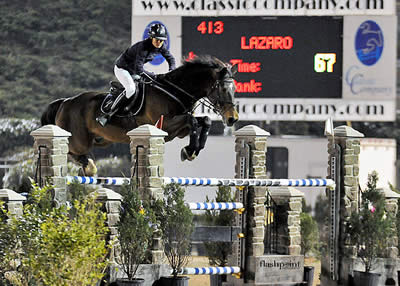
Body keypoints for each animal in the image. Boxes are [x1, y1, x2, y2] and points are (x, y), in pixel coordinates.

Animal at [41, 55, 238, 175]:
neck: (175, 91)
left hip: (101, 140)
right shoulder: (165, 126)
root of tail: (65, 102)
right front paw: (189, 151)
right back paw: (89, 166)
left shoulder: (180, 130)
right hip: (79, 140)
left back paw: (88, 166)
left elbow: (203, 121)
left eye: (234, 88)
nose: (233, 118)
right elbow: (192, 121)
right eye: (222, 89)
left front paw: (191, 150)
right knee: (71, 151)